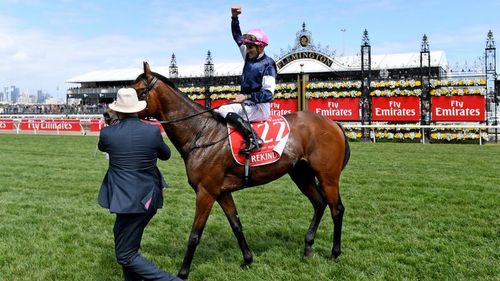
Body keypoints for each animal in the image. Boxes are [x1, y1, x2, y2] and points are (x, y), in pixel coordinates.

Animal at [115, 61, 350, 278]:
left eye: (138, 91)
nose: (110, 114)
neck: (201, 133)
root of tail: (333, 124)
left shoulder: (205, 192)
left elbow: (194, 235)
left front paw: (183, 273)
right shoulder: (222, 192)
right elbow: (236, 225)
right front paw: (248, 259)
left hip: (327, 177)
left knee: (336, 209)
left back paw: (335, 253)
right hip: (301, 174)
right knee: (319, 204)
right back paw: (308, 247)